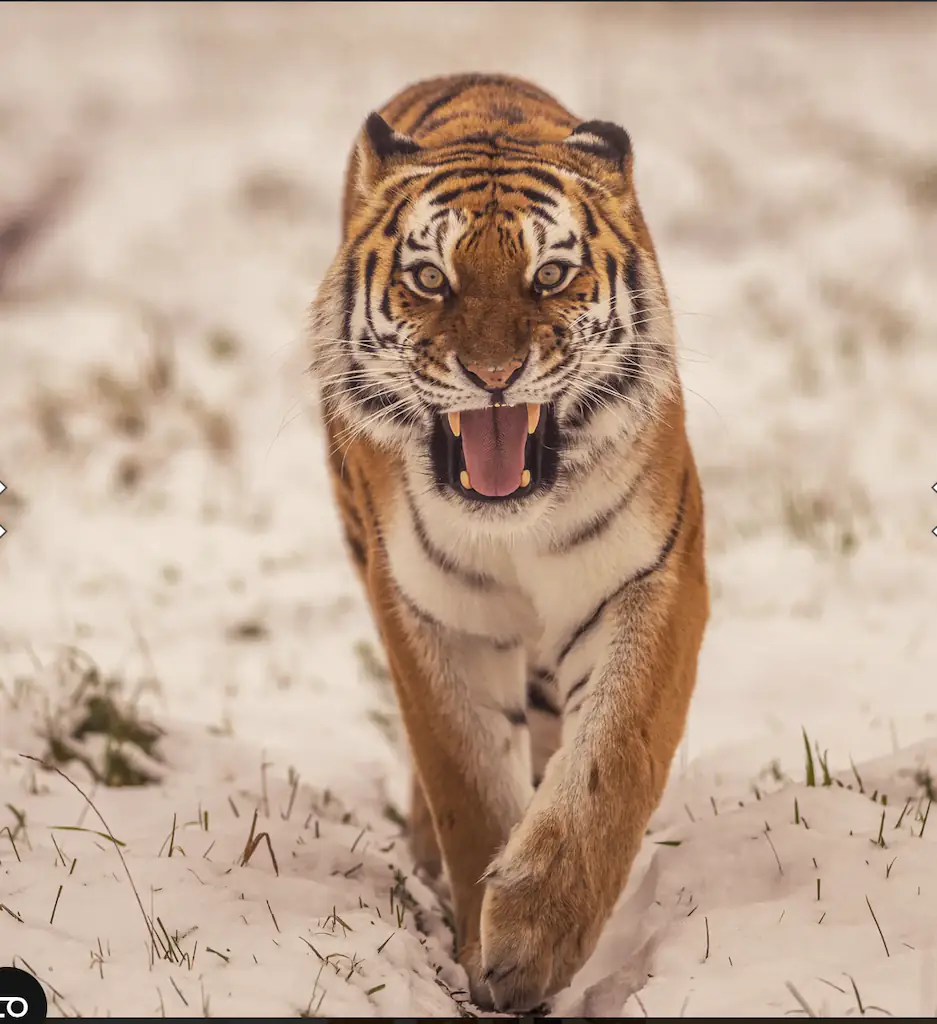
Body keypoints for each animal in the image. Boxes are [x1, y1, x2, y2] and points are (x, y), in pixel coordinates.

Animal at [309, 73, 709, 1012]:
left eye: (549, 275)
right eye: (430, 278)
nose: (493, 377)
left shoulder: (648, 576)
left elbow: (607, 763)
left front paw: (533, 939)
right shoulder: (433, 611)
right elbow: (467, 781)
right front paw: (484, 956)